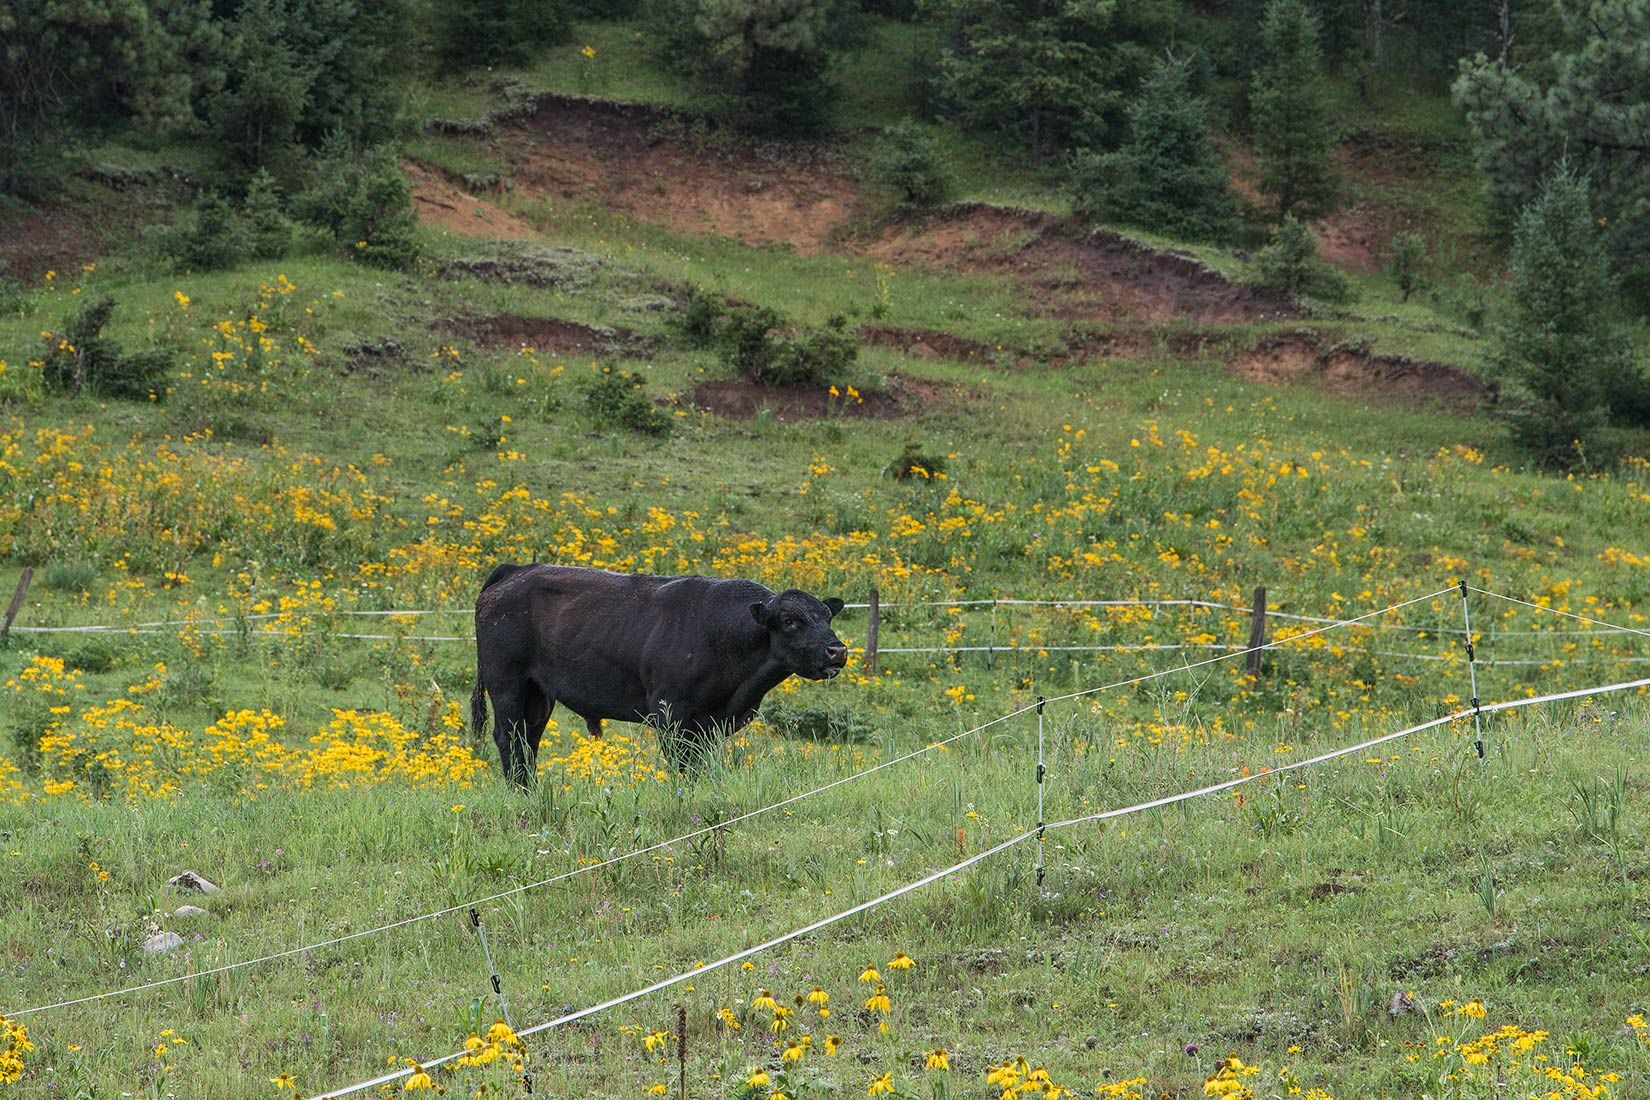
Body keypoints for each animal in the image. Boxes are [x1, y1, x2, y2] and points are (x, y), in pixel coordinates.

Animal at [470, 563, 849, 786]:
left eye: (827, 616)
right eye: (790, 621)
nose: (838, 651)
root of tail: (517, 570)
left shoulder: (710, 723)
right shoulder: (671, 713)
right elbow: (682, 763)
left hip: (539, 693)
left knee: (528, 739)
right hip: (507, 684)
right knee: (508, 736)